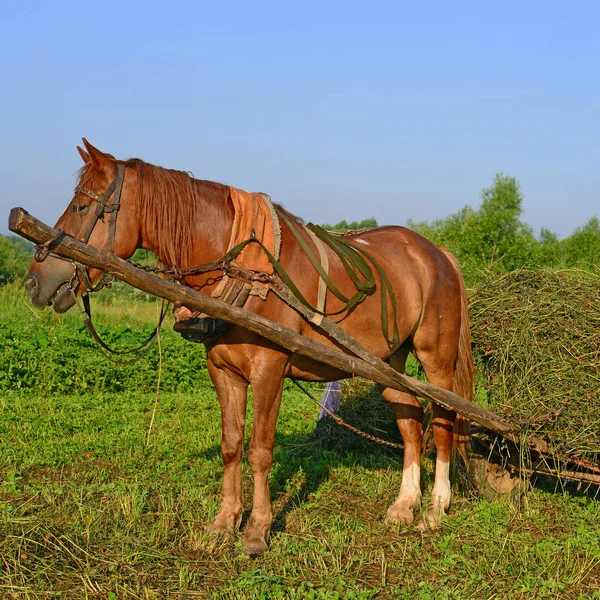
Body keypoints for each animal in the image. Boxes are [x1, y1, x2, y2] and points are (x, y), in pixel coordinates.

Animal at [24, 138, 474, 556]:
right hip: (386, 361)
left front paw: (257, 530)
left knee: (444, 421)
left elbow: (259, 450)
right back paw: (404, 505)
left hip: (435, 357)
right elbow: (231, 446)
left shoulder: (269, 370)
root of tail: (437, 252)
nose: (33, 281)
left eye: (82, 206)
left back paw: (435, 508)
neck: (243, 269)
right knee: (410, 421)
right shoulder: (222, 370)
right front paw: (224, 523)